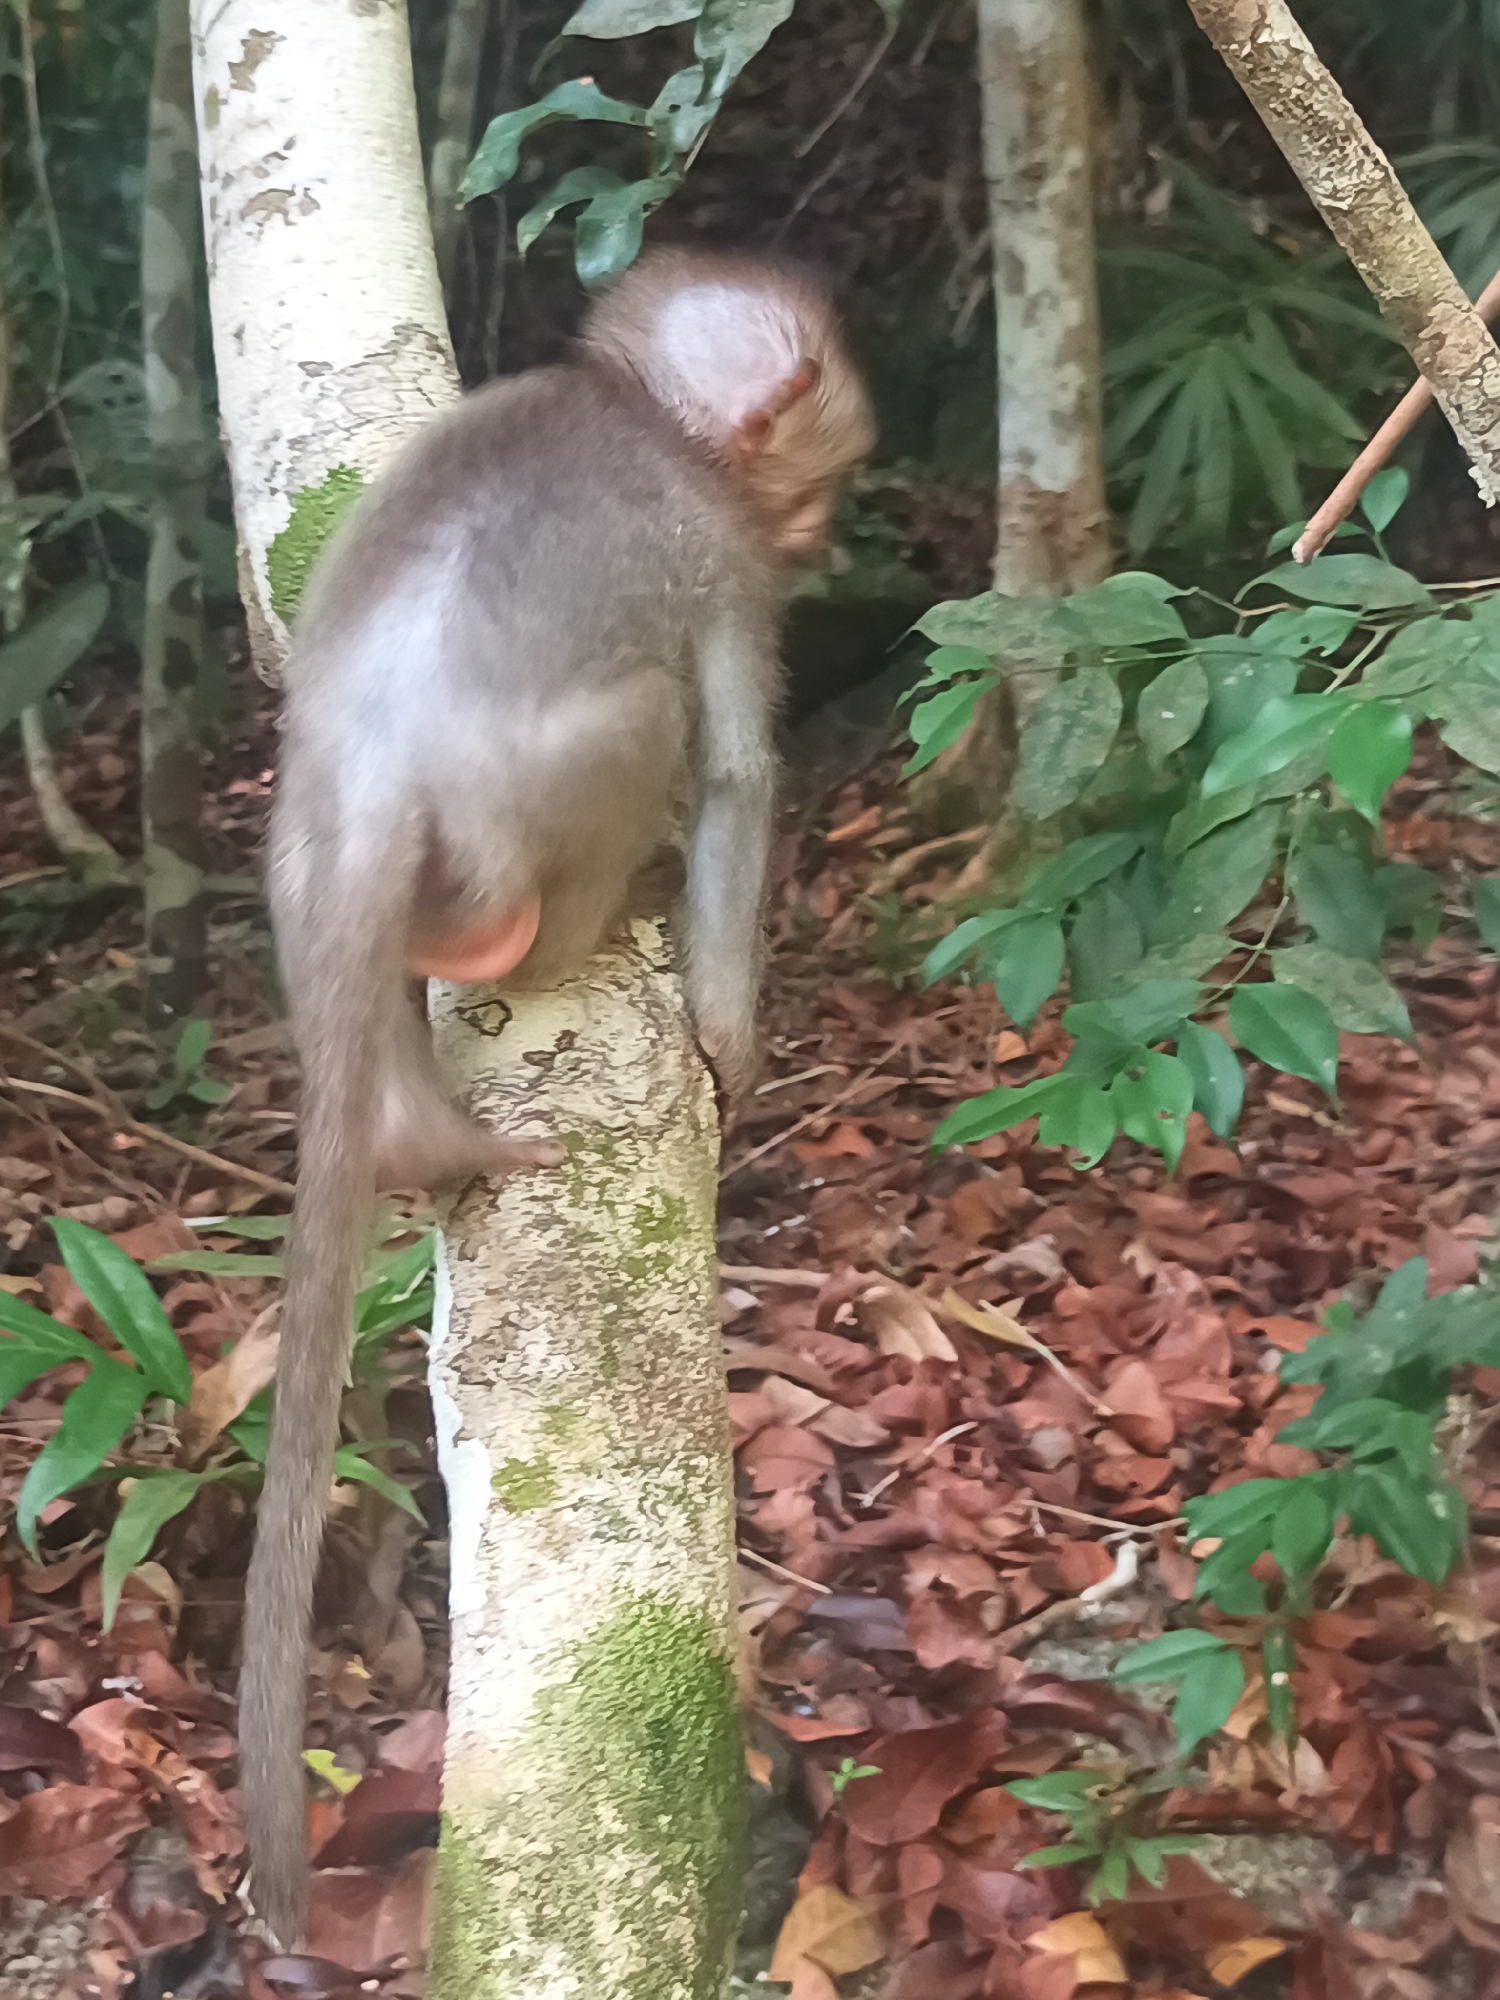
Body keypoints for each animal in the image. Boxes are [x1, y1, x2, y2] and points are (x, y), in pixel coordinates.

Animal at [239, 246, 874, 1946]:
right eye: (815, 483)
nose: (826, 539)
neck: (629, 407)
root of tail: (378, 768)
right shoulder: (718, 553)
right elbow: (736, 777)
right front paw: (728, 1035)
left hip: (304, 830)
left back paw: (412, 1124)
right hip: (536, 792)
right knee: (646, 732)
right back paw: (563, 934)